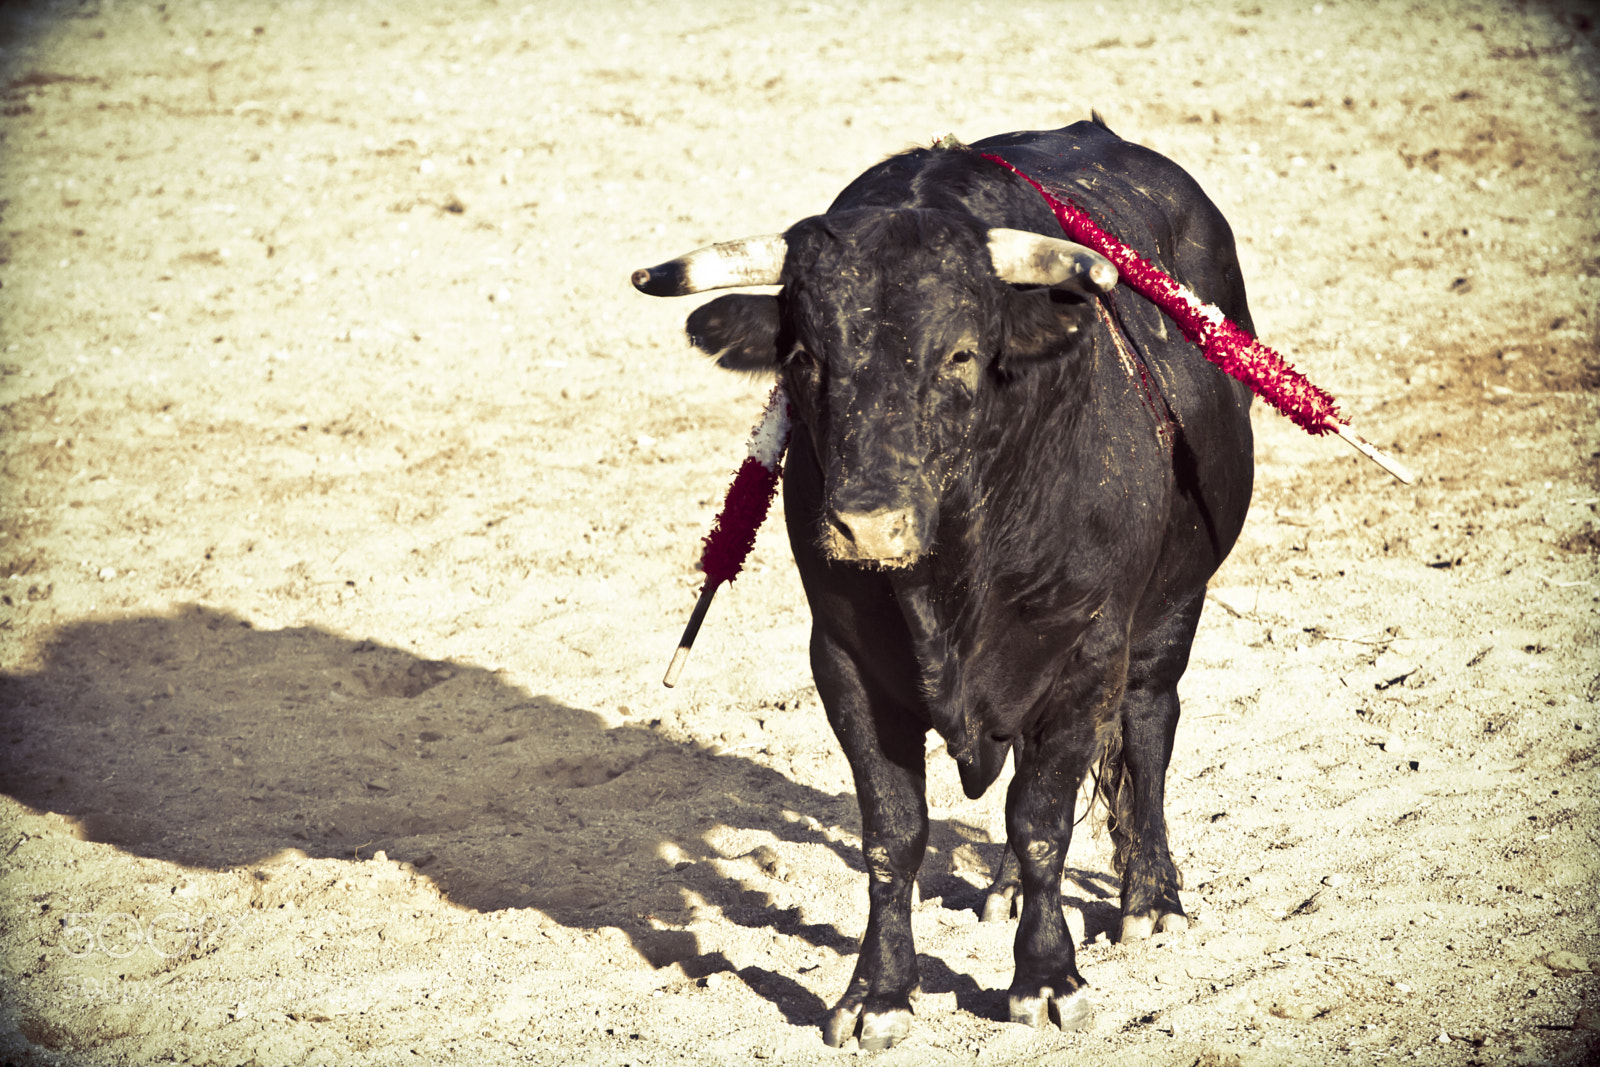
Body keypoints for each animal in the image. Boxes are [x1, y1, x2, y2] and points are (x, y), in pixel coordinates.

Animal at [633, 116, 1255, 1050]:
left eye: (961, 353)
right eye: (805, 357)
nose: (868, 526)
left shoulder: (1088, 649)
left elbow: (1041, 820)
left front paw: (1048, 978)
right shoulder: (845, 662)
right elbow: (895, 832)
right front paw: (877, 992)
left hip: (1172, 610)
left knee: (1148, 725)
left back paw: (1151, 897)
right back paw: (1005, 892)